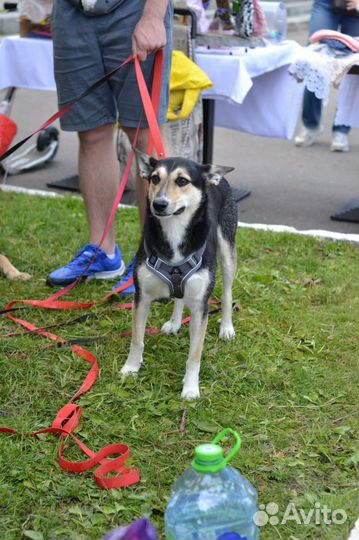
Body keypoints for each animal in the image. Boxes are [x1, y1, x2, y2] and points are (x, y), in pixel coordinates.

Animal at [121, 150, 239, 398]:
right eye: (155, 178)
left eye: (182, 181)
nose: (159, 204)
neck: (174, 230)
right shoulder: (141, 297)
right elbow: (137, 340)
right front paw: (131, 368)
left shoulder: (201, 306)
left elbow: (195, 355)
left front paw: (191, 388)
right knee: (179, 297)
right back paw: (175, 323)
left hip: (227, 249)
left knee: (227, 292)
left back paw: (226, 327)